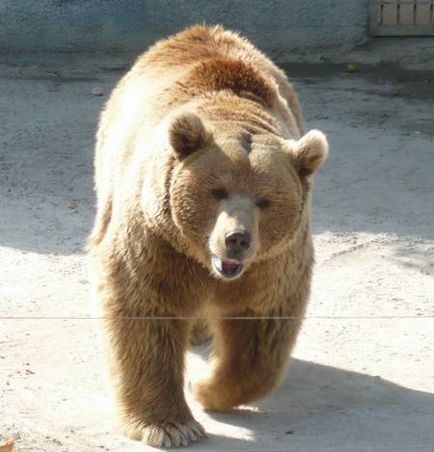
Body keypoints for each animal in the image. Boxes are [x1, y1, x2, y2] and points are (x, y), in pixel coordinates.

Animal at [87, 24, 326, 448]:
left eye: (265, 200)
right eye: (217, 190)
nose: (237, 238)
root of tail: (194, 32)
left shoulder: (272, 260)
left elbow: (261, 326)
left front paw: (207, 389)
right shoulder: (157, 238)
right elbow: (143, 306)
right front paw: (172, 426)